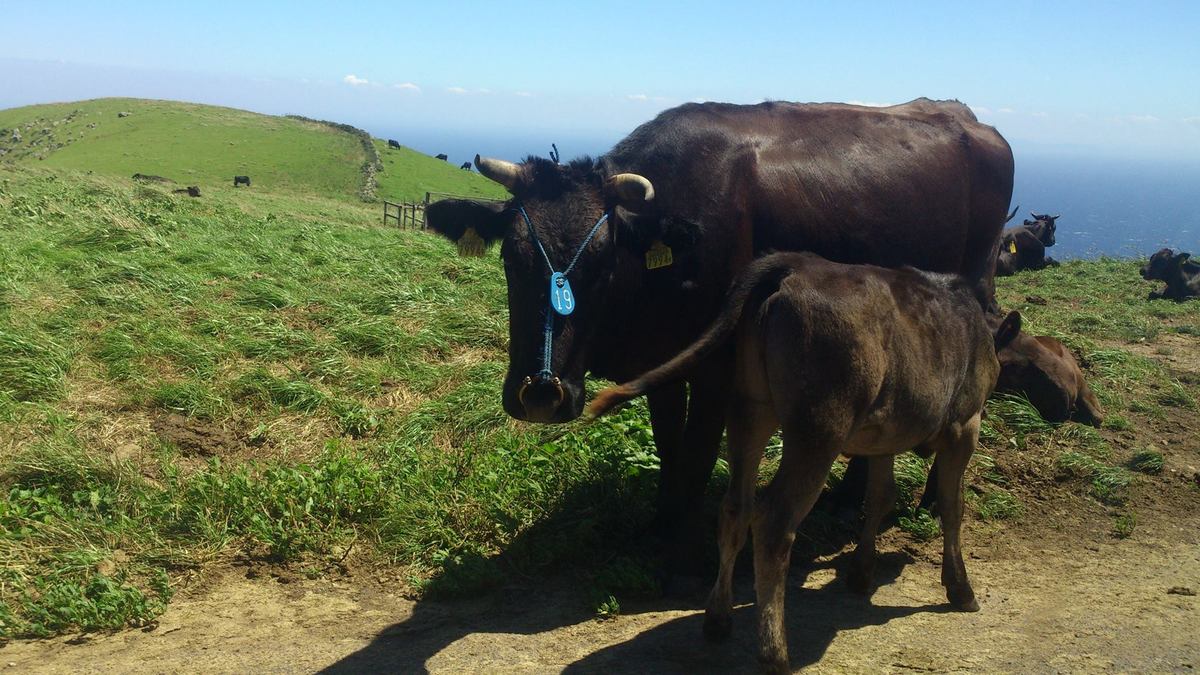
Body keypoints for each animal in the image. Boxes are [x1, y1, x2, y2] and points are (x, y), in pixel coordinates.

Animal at [422, 97, 1012, 581]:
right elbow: (668, 444)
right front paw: (659, 521)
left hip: (973, 285)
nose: (541, 394)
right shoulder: (659, 361)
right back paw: (852, 498)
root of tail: (971, 119)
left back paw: (926, 495)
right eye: (510, 256)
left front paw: (682, 543)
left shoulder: (717, 365)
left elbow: (700, 450)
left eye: (604, 264)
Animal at [585, 251, 1017, 667]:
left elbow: (880, 496)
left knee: (735, 508)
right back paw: (775, 652)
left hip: (749, 408)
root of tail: (795, 264)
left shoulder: (887, 434)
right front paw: (960, 588)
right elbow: (952, 505)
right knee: (773, 521)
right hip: (819, 427)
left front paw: (861, 574)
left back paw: (718, 619)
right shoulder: (965, 424)